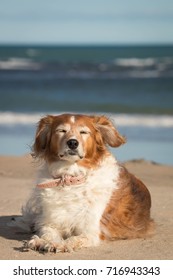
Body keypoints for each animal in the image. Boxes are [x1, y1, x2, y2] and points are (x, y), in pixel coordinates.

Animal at [11, 112, 153, 253]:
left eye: (84, 132)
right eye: (61, 130)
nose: (72, 142)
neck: (71, 179)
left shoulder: (91, 232)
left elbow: (73, 239)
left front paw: (59, 244)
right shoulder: (50, 223)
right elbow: (48, 233)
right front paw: (42, 241)